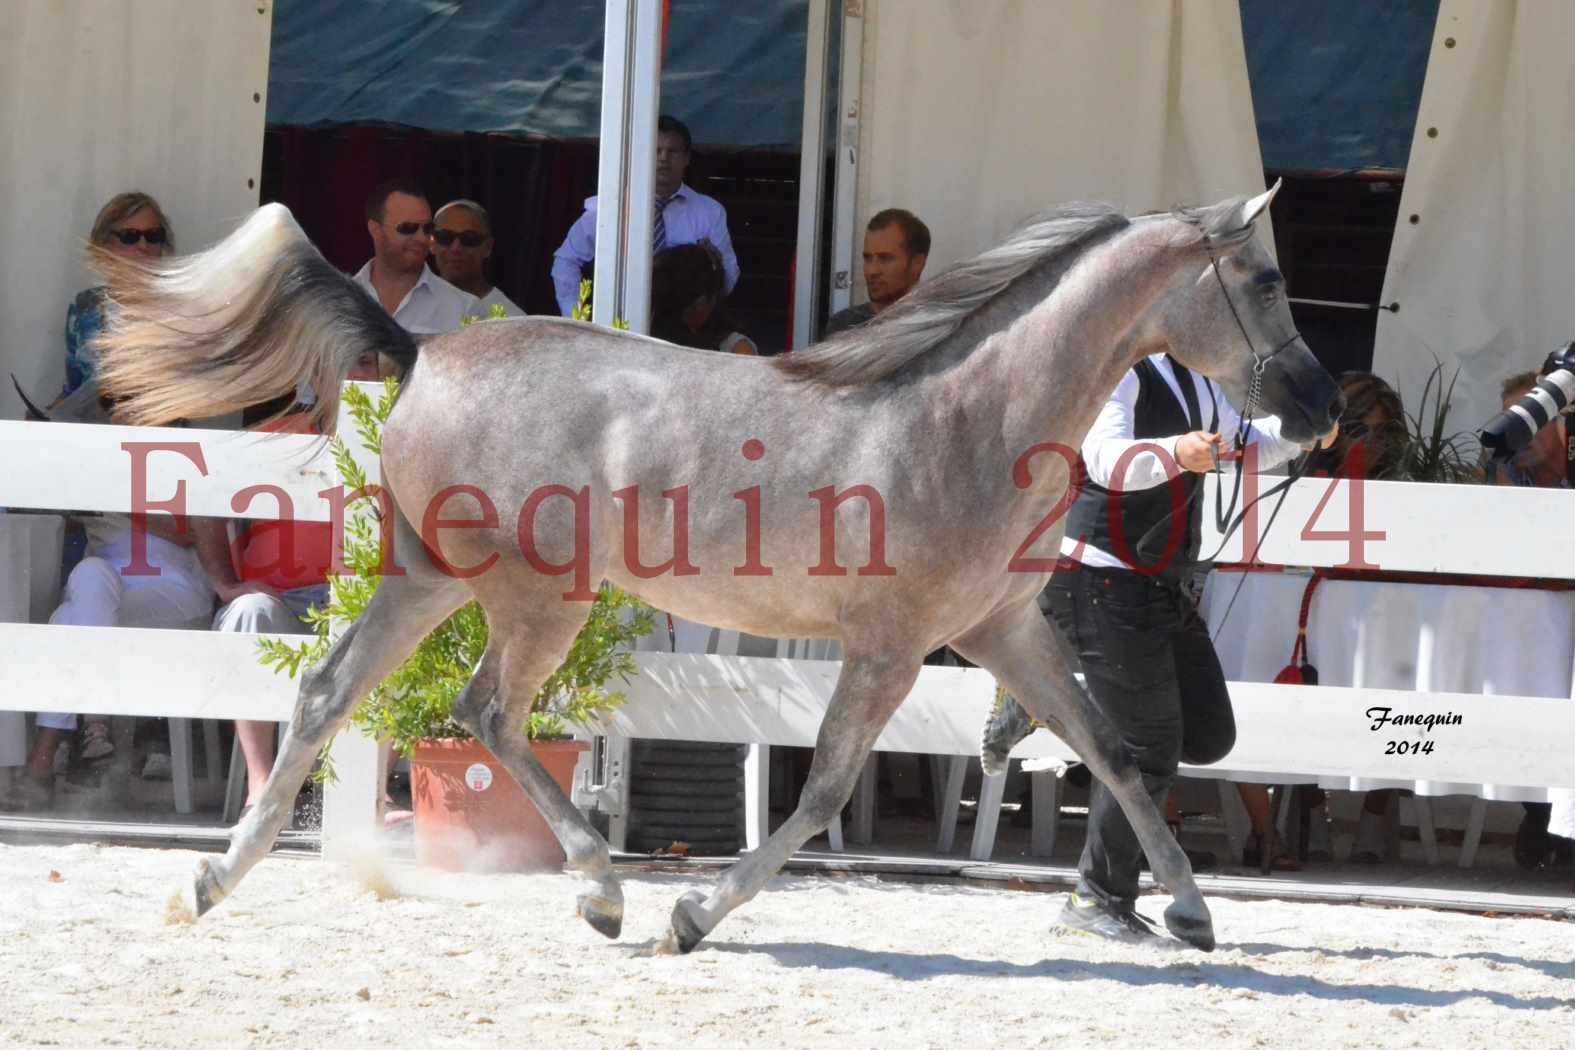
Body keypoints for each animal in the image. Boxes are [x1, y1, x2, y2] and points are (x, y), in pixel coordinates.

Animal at [92, 178, 1335, 950]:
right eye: (1270, 282)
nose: (1317, 407)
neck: (965, 420)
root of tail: (422, 349)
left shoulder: (1004, 631)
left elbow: (1115, 752)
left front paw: (1192, 915)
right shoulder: (890, 649)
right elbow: (824, 787)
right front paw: (693, 920)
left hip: (432, 577)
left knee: (332, 691)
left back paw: (208, 884)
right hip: (534, 598)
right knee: (485, 711)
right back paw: (603, 893)